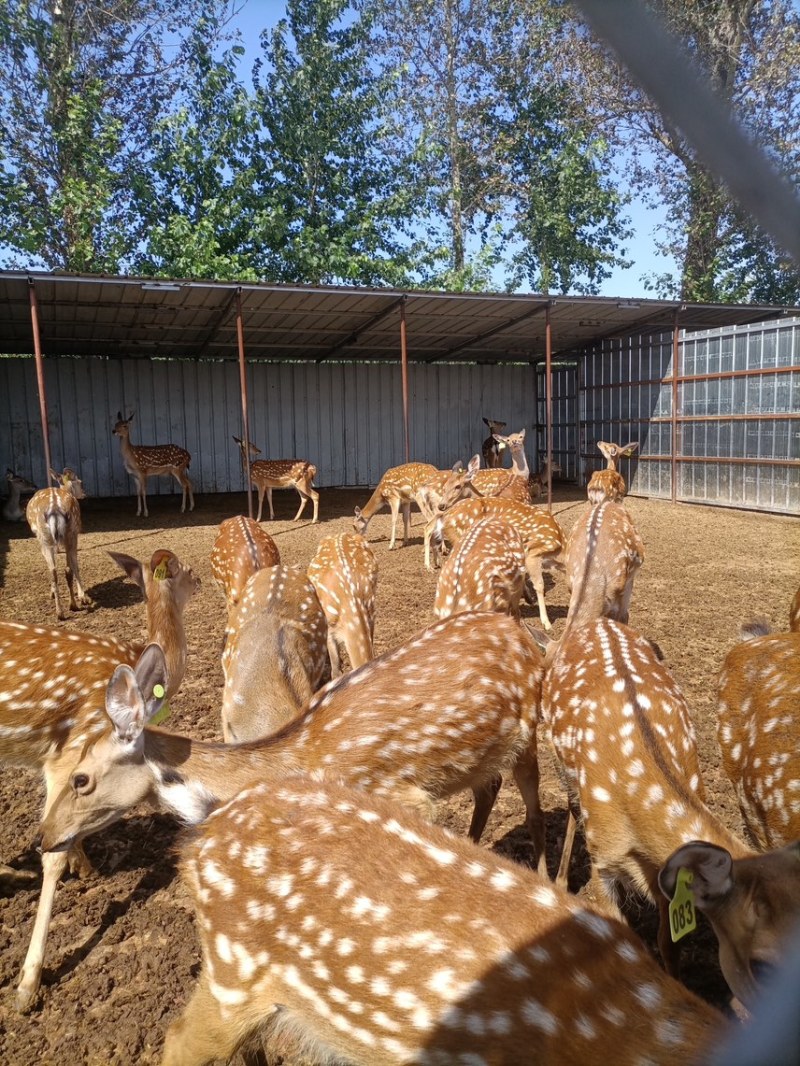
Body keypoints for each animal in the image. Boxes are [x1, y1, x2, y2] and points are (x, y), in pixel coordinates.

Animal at [0, 549, 199, 1011]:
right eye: (184, 570)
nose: (201, 579)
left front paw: (85, 866)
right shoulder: (69, 747)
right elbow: (51, 846)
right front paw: (27, 984)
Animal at [26, 467, 94, 621]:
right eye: (80, 481)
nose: (84, 494)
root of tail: (55, 509)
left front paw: (83, 597)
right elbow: (74, 565)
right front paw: (83, 596)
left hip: (50, 537)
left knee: (57, 570)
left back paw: (66, 608)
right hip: (67, 535)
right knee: (61, 569)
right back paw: (65, 608)